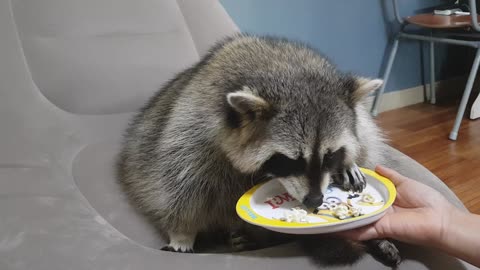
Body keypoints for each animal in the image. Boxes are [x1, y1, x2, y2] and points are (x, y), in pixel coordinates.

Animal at [117, 34, 402, 266]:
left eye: (330, 155)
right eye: (291, 160)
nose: (314, 201)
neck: (287, 71)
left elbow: (362, 137)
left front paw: (348, 162)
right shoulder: (194, 128)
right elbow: (181, 181)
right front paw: (182, 231)